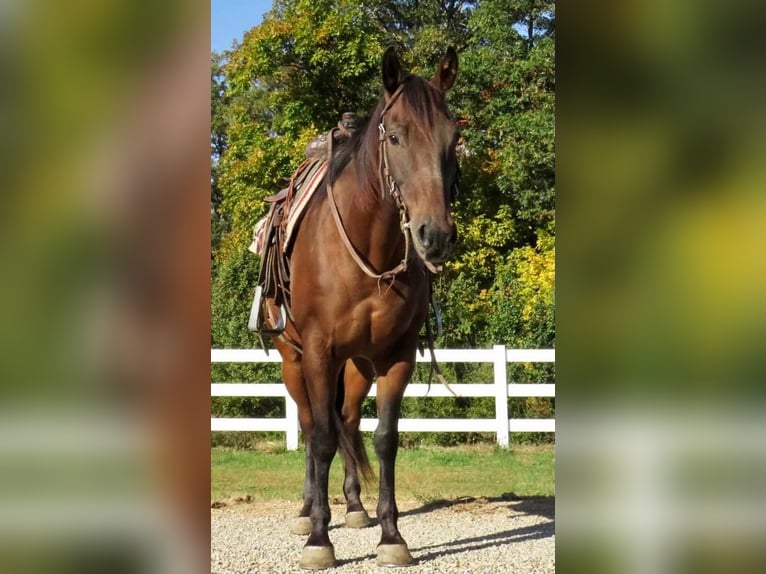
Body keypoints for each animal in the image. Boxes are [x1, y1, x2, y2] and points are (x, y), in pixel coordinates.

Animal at [264, 46, 460, 572]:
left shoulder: (397, 356)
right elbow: (321, 439)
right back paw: (308, 512)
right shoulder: (317, 352)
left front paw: (391, 535)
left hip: (355, 366)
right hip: (294, 361)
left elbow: (385, 438)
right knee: (311, 426)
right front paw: (318, 539)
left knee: (349, 422)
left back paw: (353, 507)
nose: (435, 235)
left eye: (453, 137)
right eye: (394, 136)